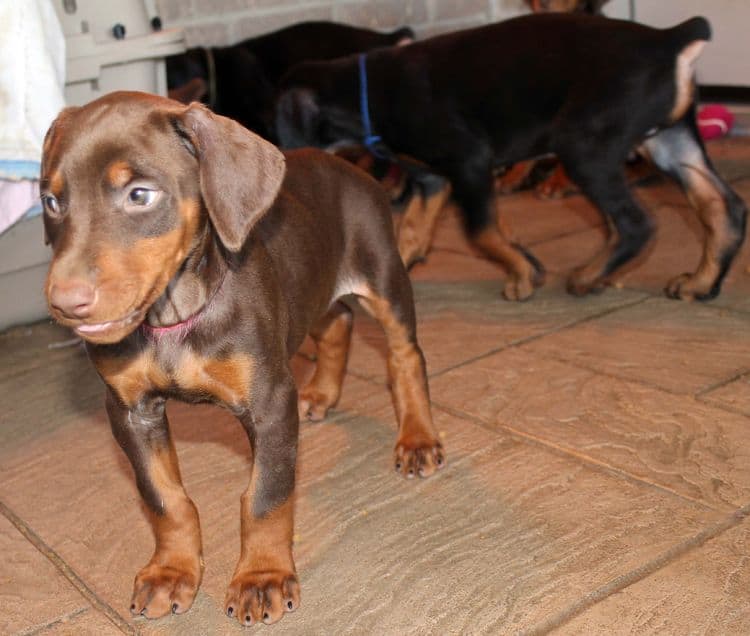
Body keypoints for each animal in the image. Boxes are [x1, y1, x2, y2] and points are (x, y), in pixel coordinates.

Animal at [41, 89, 444, 628]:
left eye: (140, 195)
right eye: (51, 201)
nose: (64, 302)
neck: (175, 315)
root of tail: (343, 163)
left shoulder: (269, 403)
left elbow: (265, 497)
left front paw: (262, 578)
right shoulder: (129, 410)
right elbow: (164, 498)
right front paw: (172, 571)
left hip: (383, 277)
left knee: (404, 356)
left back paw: (417, 437)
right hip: (309, 290)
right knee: (336, 322)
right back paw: (321, 392)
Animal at [276, 14, 748, 304]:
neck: (363, 91)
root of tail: (669, 38)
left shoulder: (470, 161)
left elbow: (481, 230)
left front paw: (522, 275)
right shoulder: (434, 179)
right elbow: (412, 232)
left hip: (583, 145)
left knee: (635, 223)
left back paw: (587, 277)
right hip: (671, 140)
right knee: (722, 207)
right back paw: (699, 283)